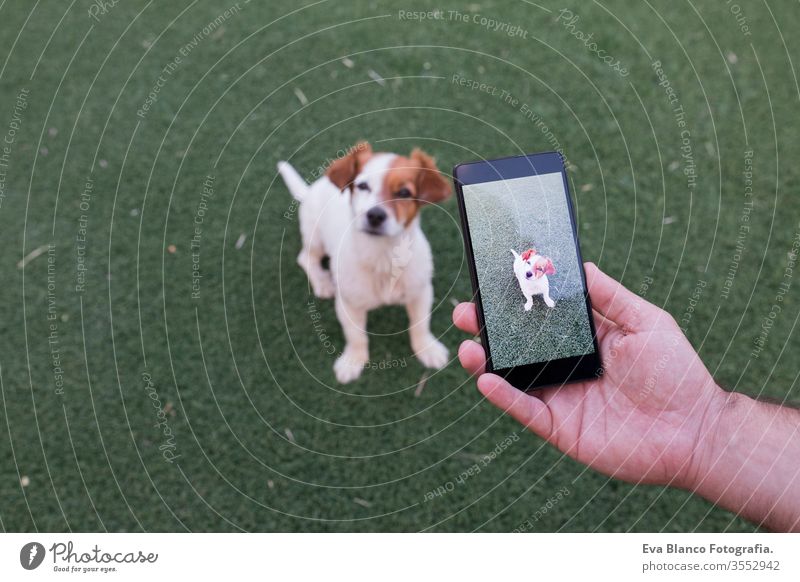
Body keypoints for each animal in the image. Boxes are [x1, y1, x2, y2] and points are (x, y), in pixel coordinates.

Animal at [276, 144, 450, 386]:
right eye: (362, 186)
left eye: (404, 193)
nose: (375, 215)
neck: (382, 258)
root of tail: (311, 189)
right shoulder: (348, 304)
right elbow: (355, 335)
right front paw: (352, 361)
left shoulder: (421, 292)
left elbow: (421, 324)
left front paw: (427, 349)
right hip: (315, 237)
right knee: (305, 257)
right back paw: (322, 283)